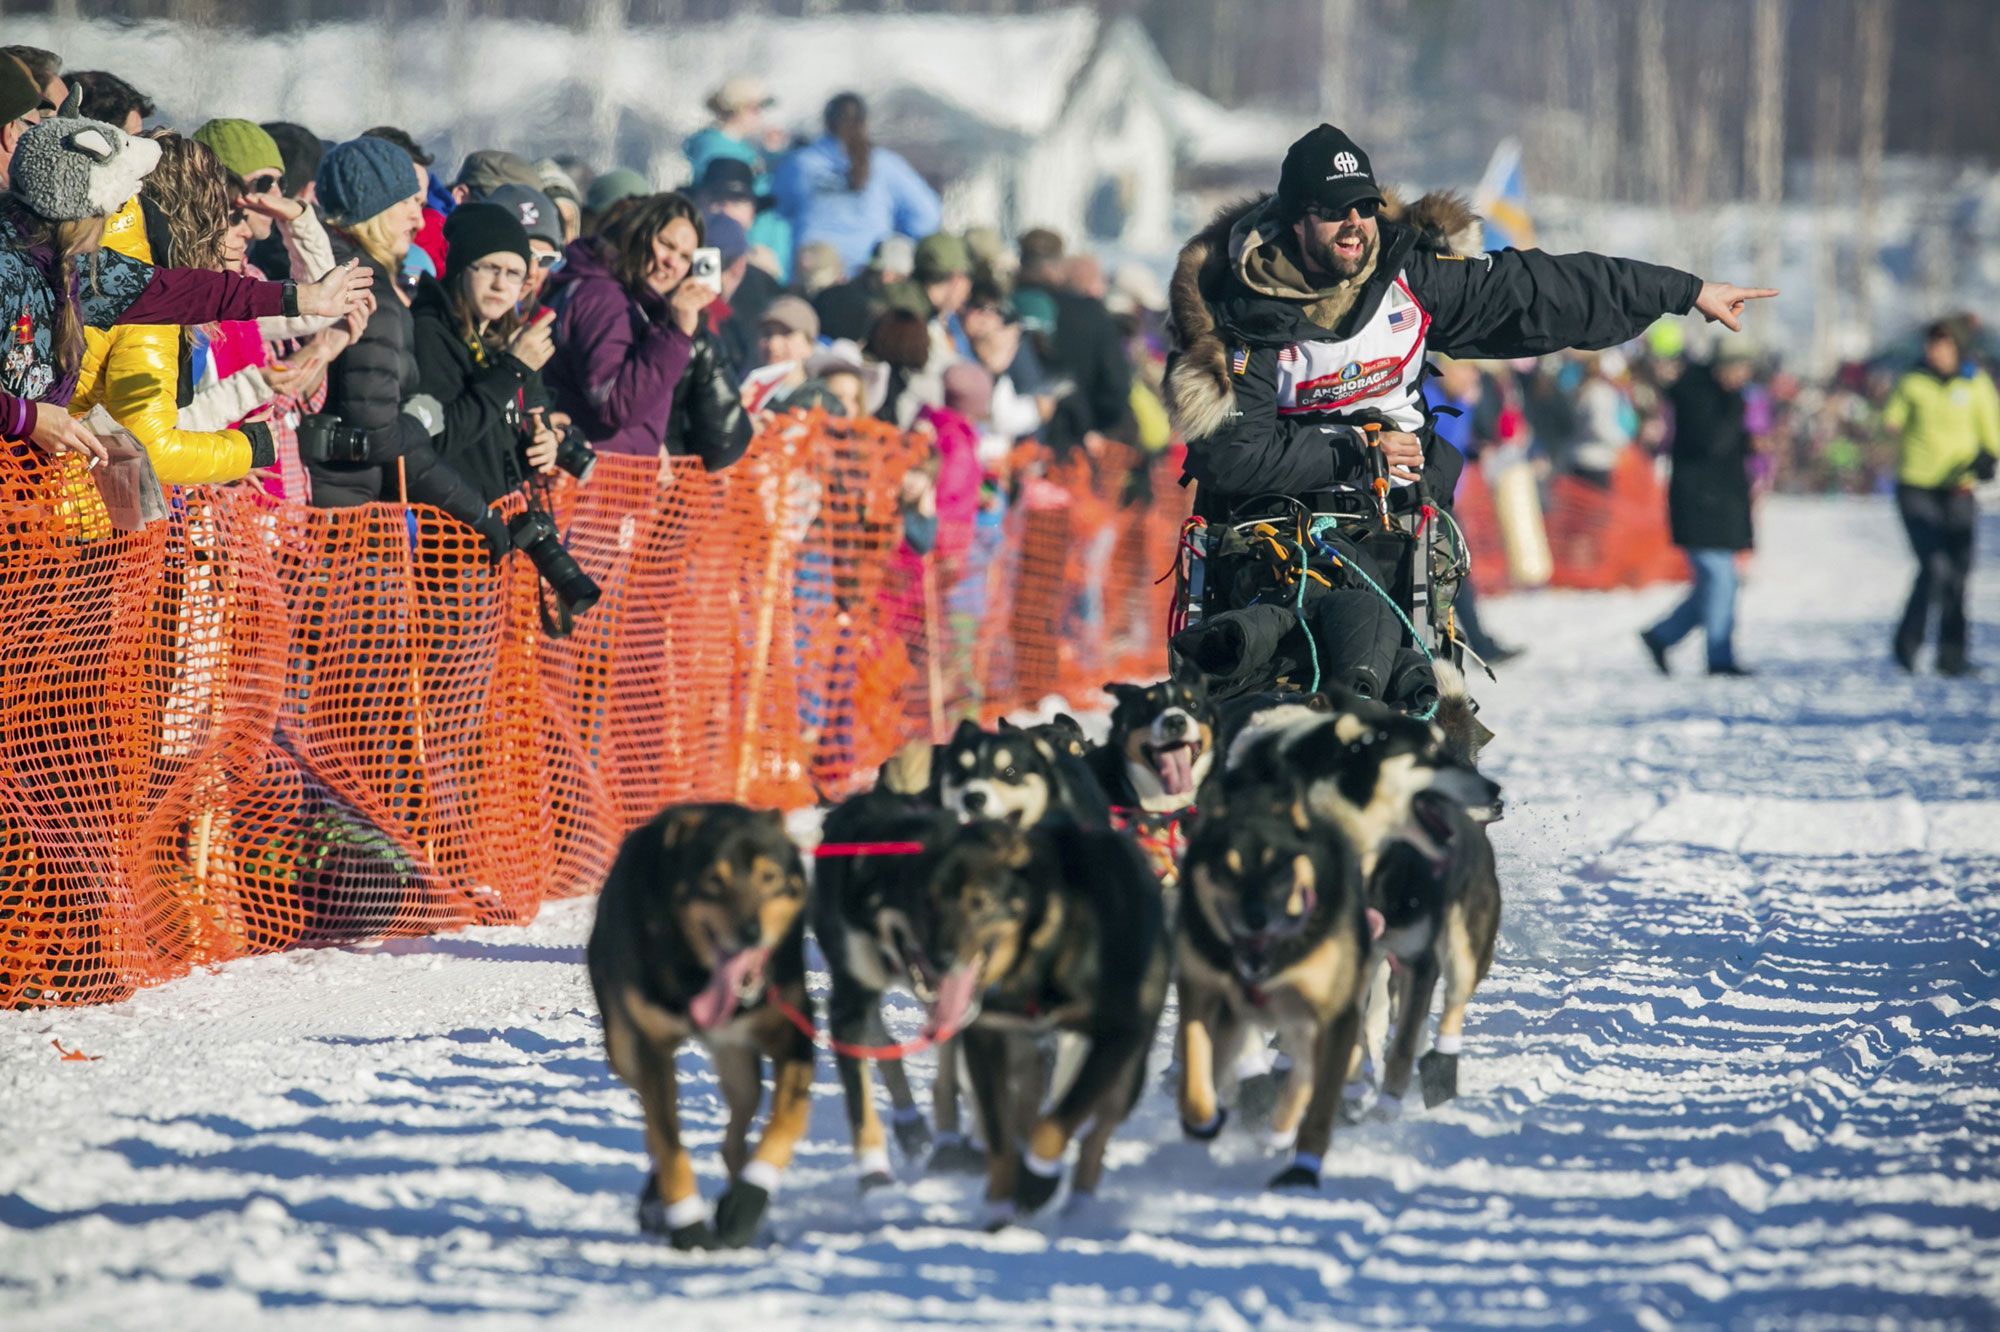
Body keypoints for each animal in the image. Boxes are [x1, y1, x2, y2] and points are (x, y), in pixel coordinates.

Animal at [588, 800, 816, 1248]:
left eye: (769, 877)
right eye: (713, 880)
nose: (750, 932)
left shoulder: (793, 1033)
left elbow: (787, 1120)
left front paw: (747, 1202)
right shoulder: (652, 1048)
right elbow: (669, 1145)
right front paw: (688, 1226)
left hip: (738, 1062)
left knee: (734, 1137)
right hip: (624, 1050)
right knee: (654, 1126)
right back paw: (657, 1201)